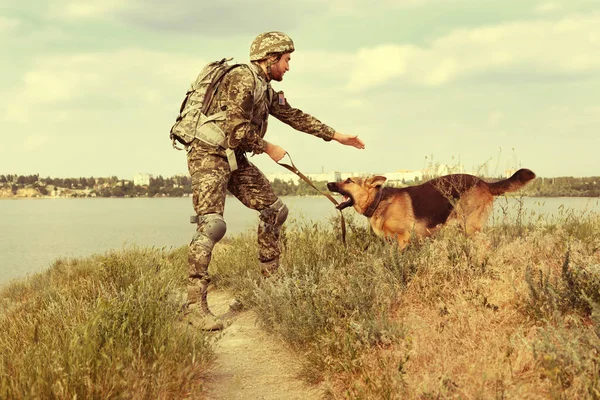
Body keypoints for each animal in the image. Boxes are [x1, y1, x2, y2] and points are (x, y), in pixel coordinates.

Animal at [328, 170, 536, 250]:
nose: (329, 183)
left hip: (470, 227)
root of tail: (484, 182)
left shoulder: (403, 239)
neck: (379, 201)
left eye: (348, 181)